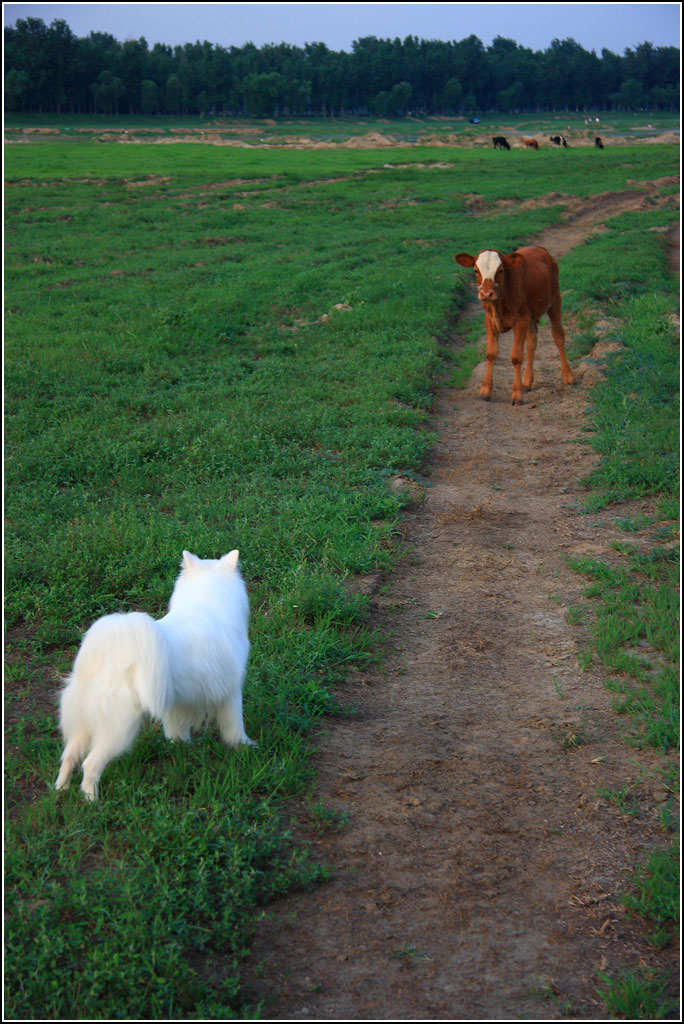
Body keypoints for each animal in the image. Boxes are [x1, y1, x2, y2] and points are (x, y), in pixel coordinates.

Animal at [54, 552, 255, 798]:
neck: (207, 601)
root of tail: (108, 656)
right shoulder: (231, 692)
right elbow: (235, 727)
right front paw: (245, 746)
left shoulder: (177, 703)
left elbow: (177, 731)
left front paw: (182, 747)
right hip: (119, 728)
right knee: (89, 765)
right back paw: (91, 799)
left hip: (82, 723)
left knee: (69, 756)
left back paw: (60, 789)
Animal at [456, 246, 573, 403]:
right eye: (475, 270)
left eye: (500, 270)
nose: (486, 294)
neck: (500, 302)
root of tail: (539, 248)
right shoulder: (490, 320)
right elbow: (490, 353)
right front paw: (485, 391)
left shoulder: (521, 319)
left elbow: (516, 356)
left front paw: (517, 394)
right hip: (531, 316)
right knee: (532, 342)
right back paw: (527, 382)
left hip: (555, 300)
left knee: (558, 336)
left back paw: (568, 376)